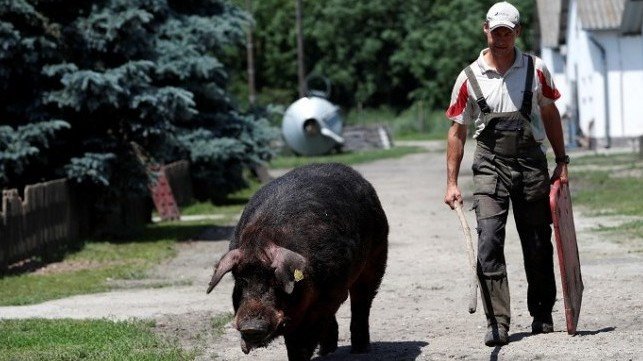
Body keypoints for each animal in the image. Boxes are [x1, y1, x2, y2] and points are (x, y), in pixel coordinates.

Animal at [208, 162, 388, 360]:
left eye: (275, 281)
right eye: (241, 281)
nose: (251, 327)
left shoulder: (328, 296)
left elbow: (300, 341)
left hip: (377, 255)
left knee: (362, 301)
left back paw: (360, 350)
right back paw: (326, 351)